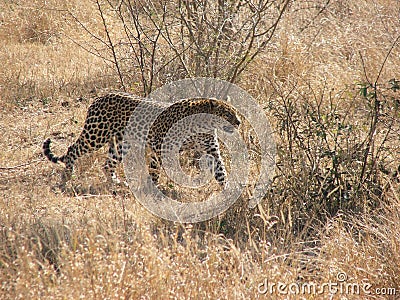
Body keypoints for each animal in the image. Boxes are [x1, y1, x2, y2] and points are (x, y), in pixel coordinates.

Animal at [43, 91, 241, 186]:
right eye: (227, 114)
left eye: (235, 112)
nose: (239, 122)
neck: (203, 126)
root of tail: (100, 97)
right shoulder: (161, 148)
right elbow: (156, 171)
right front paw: (154, 191)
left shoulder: (212, 151)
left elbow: (221, 172)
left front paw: (228, 192)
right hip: (95, 135)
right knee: (72, 149)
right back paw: (67, 176)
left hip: (121, 143)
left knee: (107, 164)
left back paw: (115, 182)